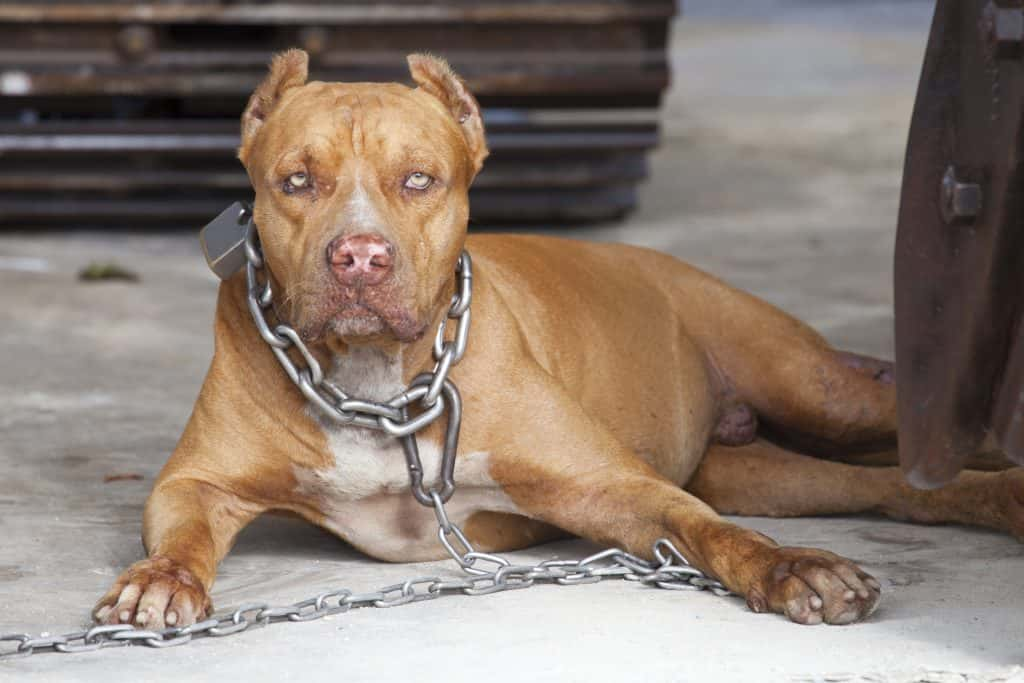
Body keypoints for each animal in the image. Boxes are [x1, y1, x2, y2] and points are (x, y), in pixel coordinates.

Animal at [94, 49, 1024, 630]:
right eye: (296, 181)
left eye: (419, 180)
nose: (359, 255)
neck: (383, 387)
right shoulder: (195, 482)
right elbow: (181, 534)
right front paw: (159, 584)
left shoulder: (614, 485)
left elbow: (715, 531)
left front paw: (793, 568)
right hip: (762, 468)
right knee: (897, 489)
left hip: (819, 390)